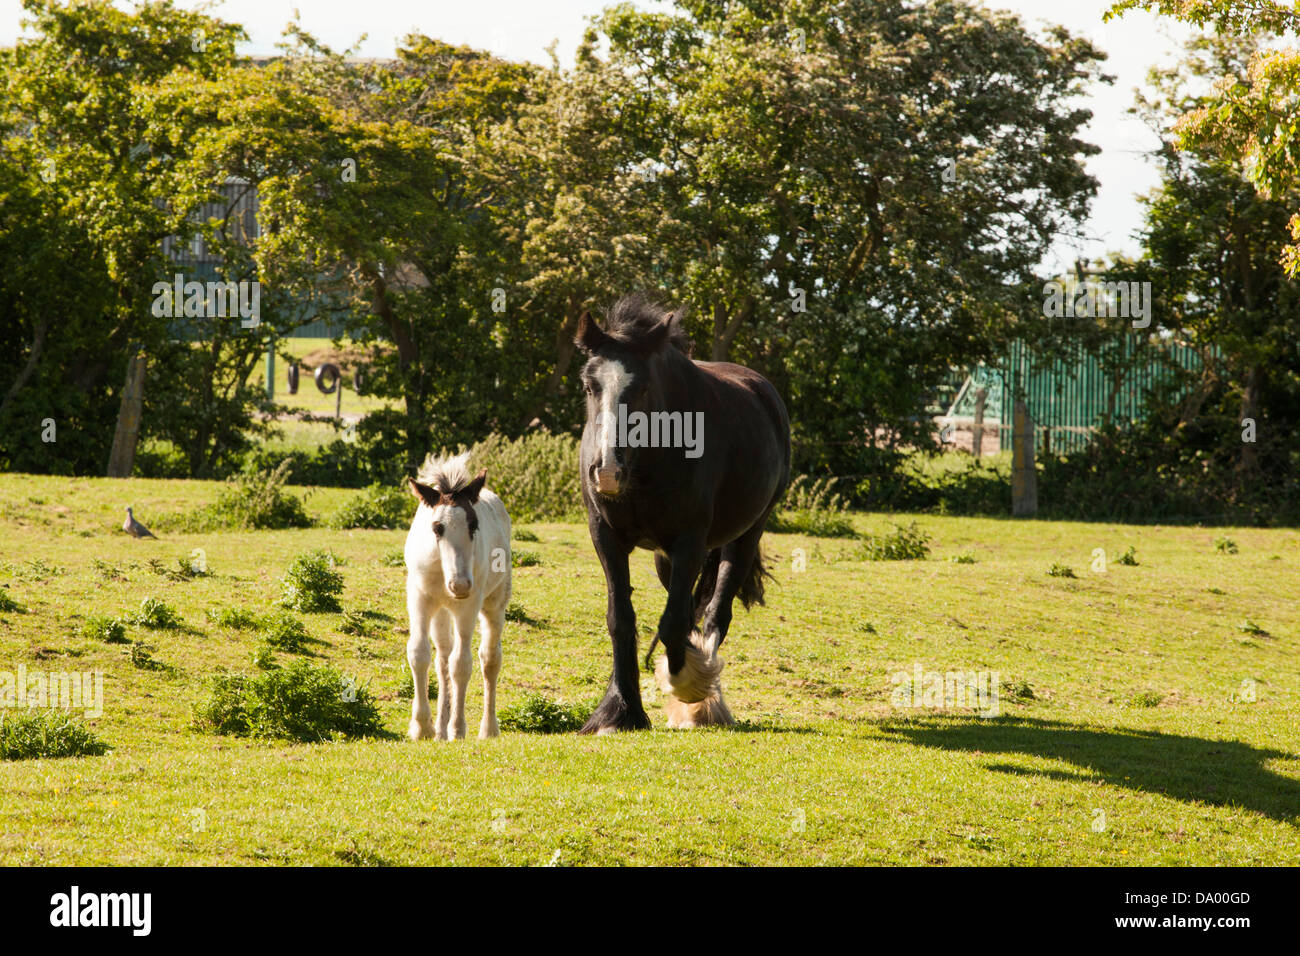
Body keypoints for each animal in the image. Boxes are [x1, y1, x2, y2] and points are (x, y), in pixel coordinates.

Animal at [404, 453, 512, 741]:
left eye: (473, 525)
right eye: (437, 528)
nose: (460, 585)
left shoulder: (468, 607)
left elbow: (461, 664)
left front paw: (458, 728)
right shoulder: (419, 598)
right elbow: (419, 653)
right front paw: (422, 727)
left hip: (495, 603)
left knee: (489, 659)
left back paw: (488, 728)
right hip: (442, 609)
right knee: (442, 656)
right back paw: (440, 729)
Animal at [575, 294, 791, 733]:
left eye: (642, 388)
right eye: (590, 386)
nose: (607, 471)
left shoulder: (690, 540)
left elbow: (674, 622)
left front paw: (689, 685)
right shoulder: (606, 536)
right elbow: (621, 618)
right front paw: (619, 710)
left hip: (744, 538)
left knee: (713, 615)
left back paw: (707, 702)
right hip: (665, 557)